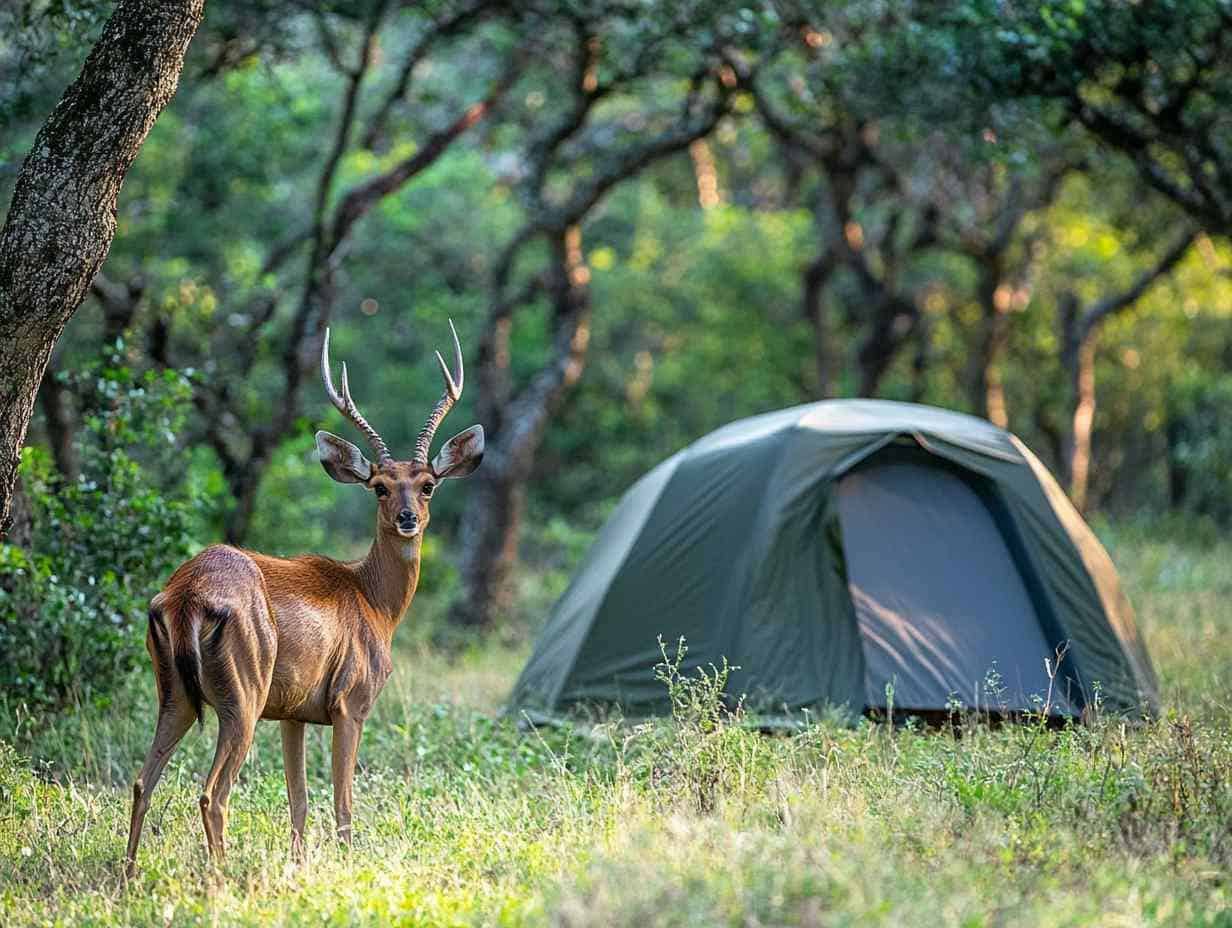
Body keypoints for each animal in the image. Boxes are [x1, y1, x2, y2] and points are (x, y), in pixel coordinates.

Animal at [123, 320, 480, 877]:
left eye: (427, 485)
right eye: (379, 486)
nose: (407, 519)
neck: (374, 603)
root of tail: (185, 598)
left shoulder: (293, 712)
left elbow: (300, 800)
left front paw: (298, 864)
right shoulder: (350, 702)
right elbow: (343, 803)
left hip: (175, 693)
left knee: (142, 782)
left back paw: (129, 875)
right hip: (242, 694)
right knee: (212, 794)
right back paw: (222, 877)